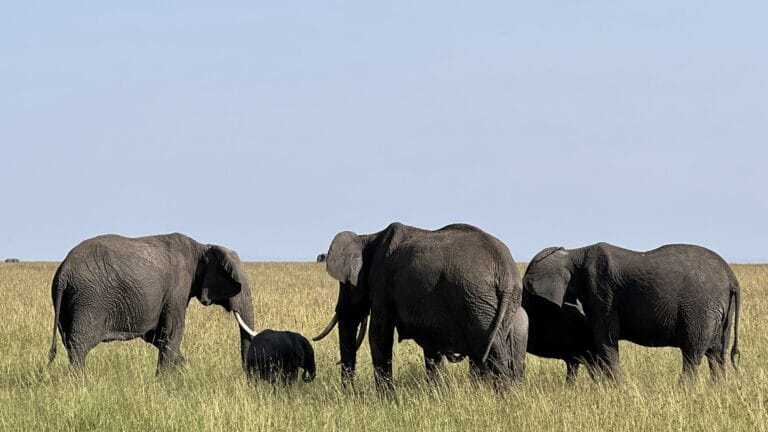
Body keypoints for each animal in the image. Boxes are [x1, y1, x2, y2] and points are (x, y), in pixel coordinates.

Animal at [48, 233, 258, 373]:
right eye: (237, 284)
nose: (247, 376)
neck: (202, 247)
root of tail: (64, 272)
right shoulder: (177, 288)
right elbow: (173, 331)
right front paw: (164, 381)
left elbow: (156, 335)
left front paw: (184, 372)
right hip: (90, 299)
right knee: (79, 345)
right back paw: (81, 383)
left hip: (68, 302)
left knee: (68, 342)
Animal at [312, 222, 527, 393]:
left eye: (346, 285)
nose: (349, 394)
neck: (369, 238)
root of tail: (506, 271)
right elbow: (431, 347)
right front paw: (437, 395)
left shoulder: (381, 280)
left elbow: (379, 334)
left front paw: (387, 400)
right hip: (499, 304)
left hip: (477, 300)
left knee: (491, 351)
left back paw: (504, 397)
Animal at [522, 242, 741, 381]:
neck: (573, 253)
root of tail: (731, 278)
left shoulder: (601, 290)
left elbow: (604, 338)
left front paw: (615, 388)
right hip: (720, 310)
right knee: (717, 354)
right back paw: (717, 389)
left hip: (700, 308)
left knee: (693, 353)